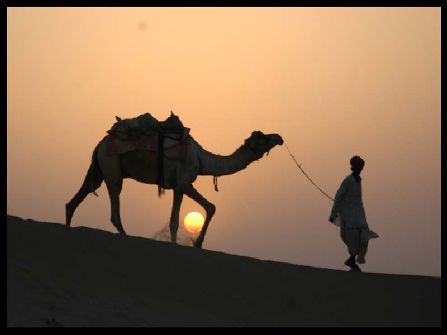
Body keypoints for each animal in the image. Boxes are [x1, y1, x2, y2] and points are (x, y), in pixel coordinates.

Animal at [65, 124, 284, 249]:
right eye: (263, 137)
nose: (279, 137)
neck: (201, 159)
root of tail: (99, 145)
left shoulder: (177, 187)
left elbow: (174, 221)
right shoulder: (185, 182)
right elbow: (211, 207)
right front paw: (198, 243)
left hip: (99, 170)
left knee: (77, 197)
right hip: (112, 169)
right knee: (114, 208)